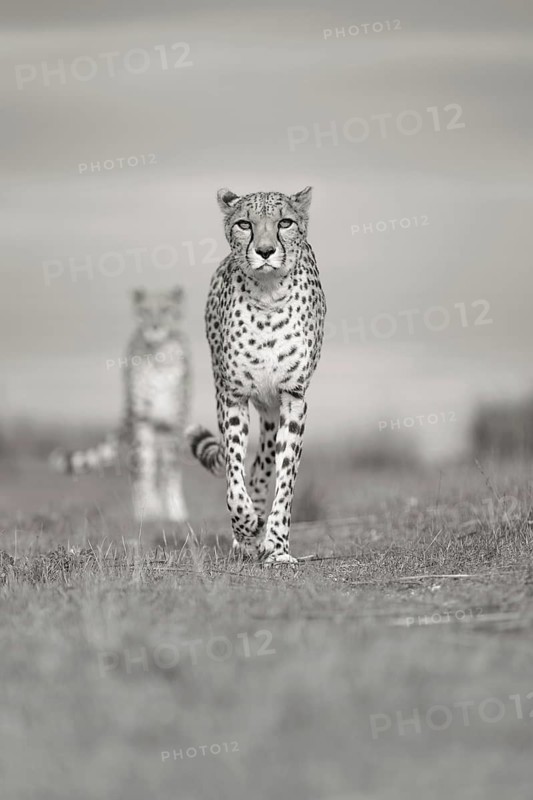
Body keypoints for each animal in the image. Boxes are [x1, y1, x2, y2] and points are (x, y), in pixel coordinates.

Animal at [50, 286, 190, 522]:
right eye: (146, 310)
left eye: (166, 309)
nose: (155, 326)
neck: (158, 355)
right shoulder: (142, 419)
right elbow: (144, 467)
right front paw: (147, 511)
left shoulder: (174, 422)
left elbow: (170, 471)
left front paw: (175, 511)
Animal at [186, 186, 326, 563]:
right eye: (244, 224)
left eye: (285, 222)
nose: (265, 251)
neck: (268, 296)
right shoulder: (232, 397)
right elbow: (234, 474)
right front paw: (245, 524)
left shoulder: (293, 398)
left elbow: (286, 477)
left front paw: (276, 546)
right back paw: (247, 537)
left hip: (271, 409)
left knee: (264, 463)